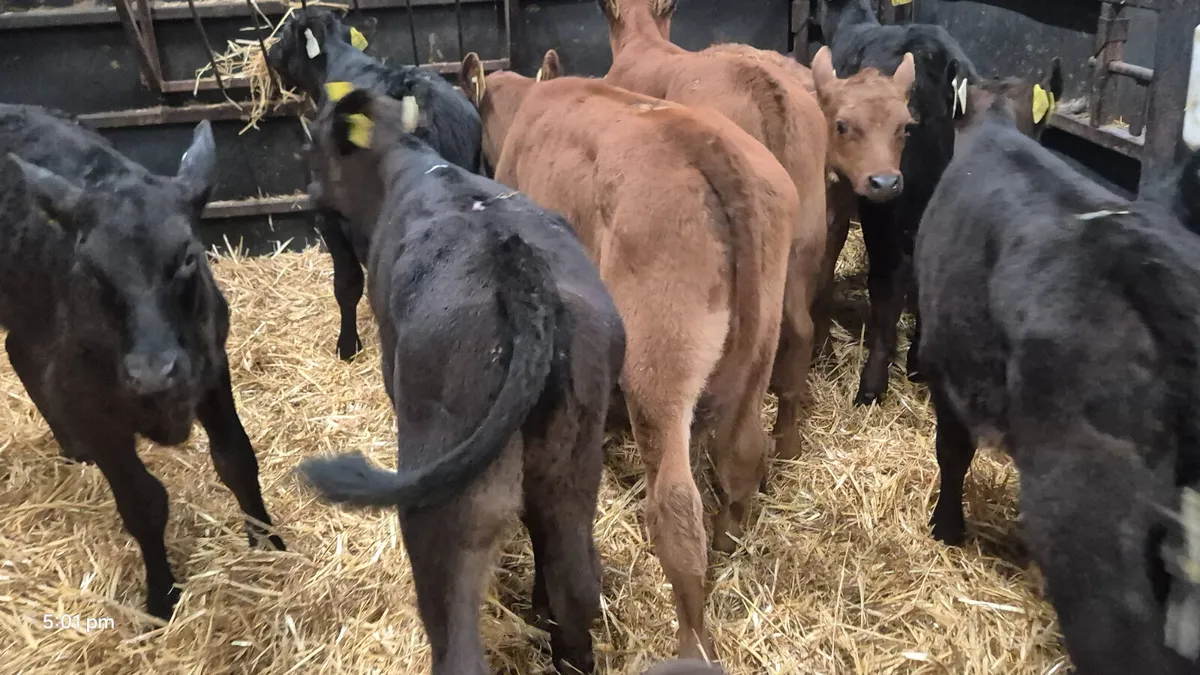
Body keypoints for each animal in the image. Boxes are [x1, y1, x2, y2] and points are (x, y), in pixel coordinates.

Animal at [0, 104, 285, 619]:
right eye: (89, 267)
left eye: (188, 256)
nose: (153, 372)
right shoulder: (91, 405)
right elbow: (143, 502)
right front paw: (160, 596)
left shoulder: (210, 366)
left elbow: (237, 459)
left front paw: (269, 543)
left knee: (19, 351)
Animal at [293, 84, 625, 675]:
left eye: (318, 145)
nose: (308, 193)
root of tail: (519, 271)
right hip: (570, 466)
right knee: (577, 581)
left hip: (446, 494)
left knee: (457, 638)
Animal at [462, 50, 798, 660]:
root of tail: (702, 141)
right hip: (763, 339)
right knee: (742, 453)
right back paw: (729, 543)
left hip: (659, 368)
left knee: (677, 511)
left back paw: (692, 644)